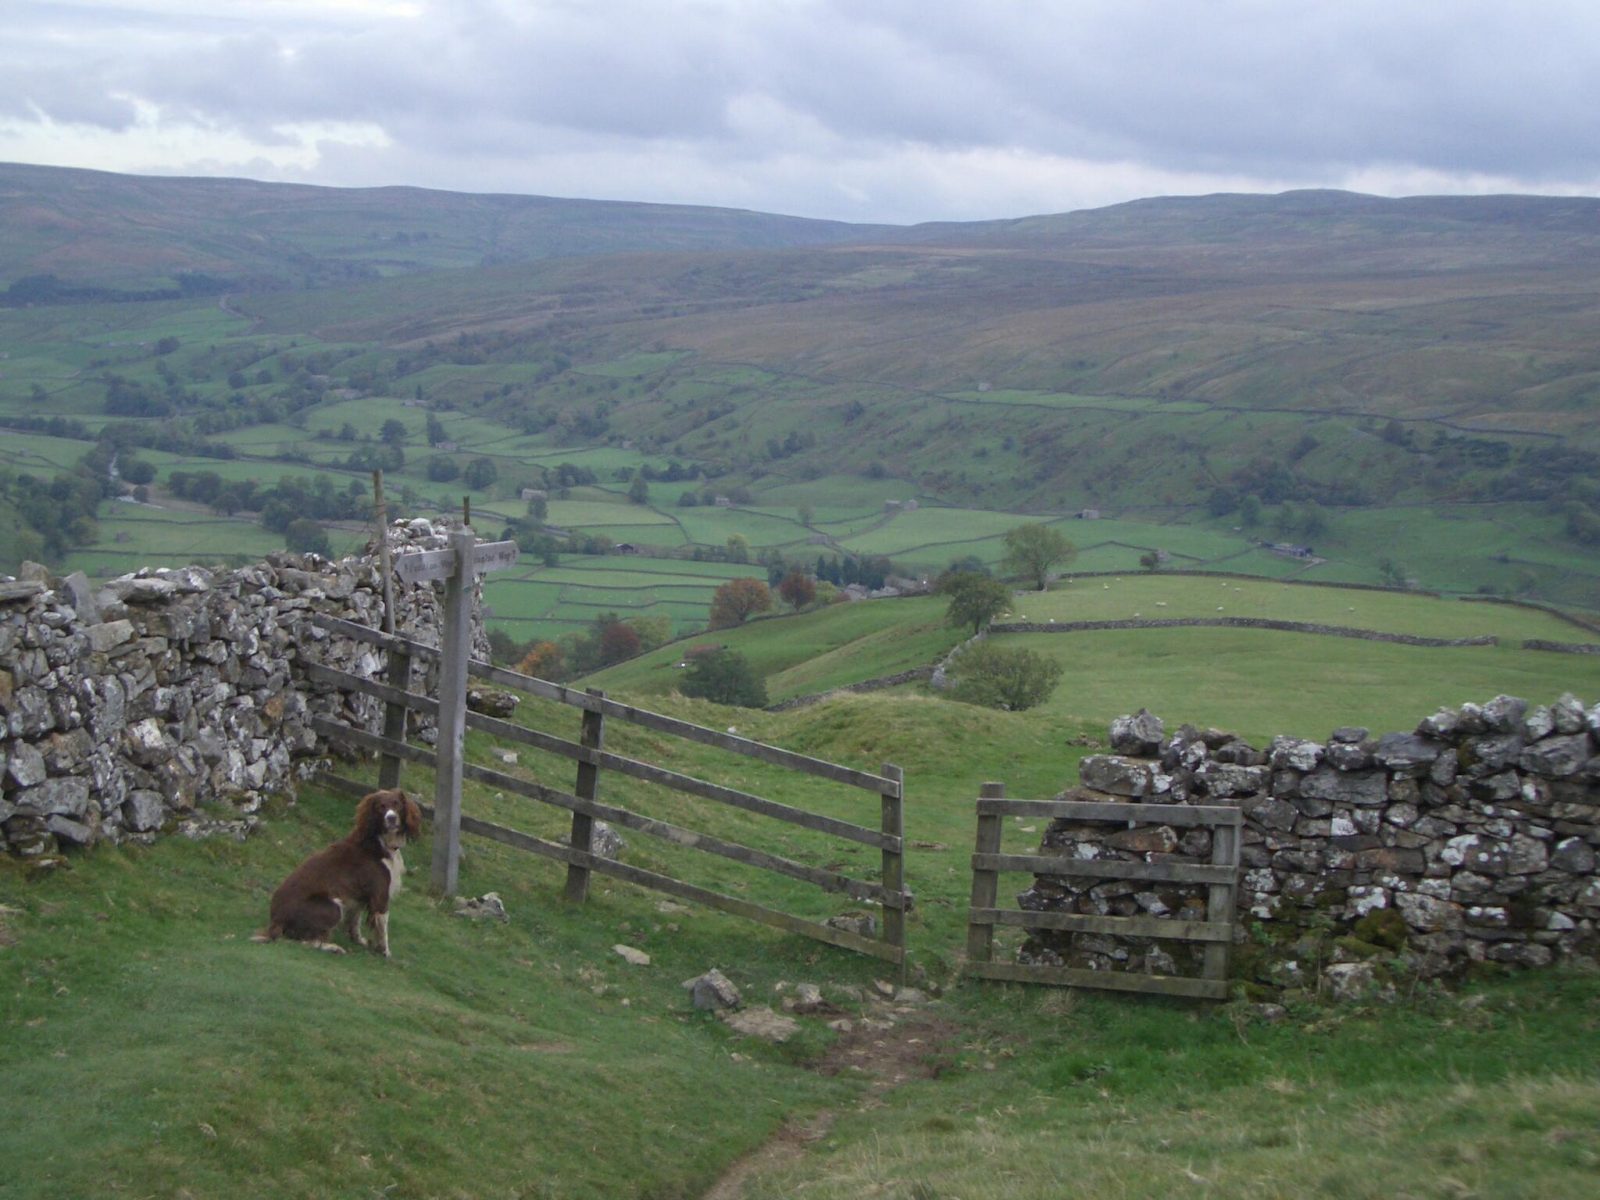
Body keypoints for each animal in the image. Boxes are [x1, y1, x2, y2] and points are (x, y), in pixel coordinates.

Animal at [254, 790, 422, 960]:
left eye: (397, 804)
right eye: (381, 807)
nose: (391, 818)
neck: (379, 841)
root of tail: (276, 920)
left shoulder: (359, 897)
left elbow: (355, 921)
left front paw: (358, 940)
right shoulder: (380, 896)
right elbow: (382, 928)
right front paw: (385, 952)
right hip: (333, 906)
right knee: (308, 941)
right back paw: (333, 947)